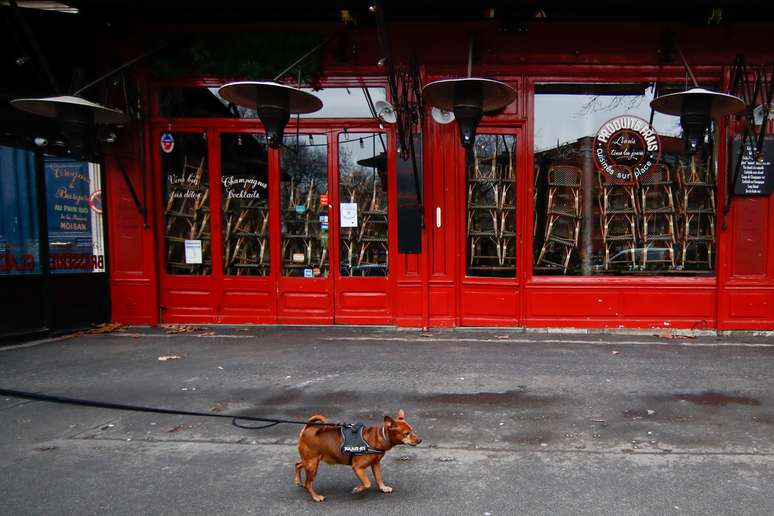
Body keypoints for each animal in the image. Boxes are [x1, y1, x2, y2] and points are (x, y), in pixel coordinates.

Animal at [294, 410, 422, 502]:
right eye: (406, 433)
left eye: (412, 430)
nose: (420, 440)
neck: (378, 437)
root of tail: (308, 428)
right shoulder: (358, 467)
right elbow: (367, 483)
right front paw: (358, 489)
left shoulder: (375, 464)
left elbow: (378, 477)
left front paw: (383, 487)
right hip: (312, 464)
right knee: (308, 483)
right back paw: (316, 496)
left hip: (309, 461)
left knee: (298, 464)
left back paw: (298, 481)